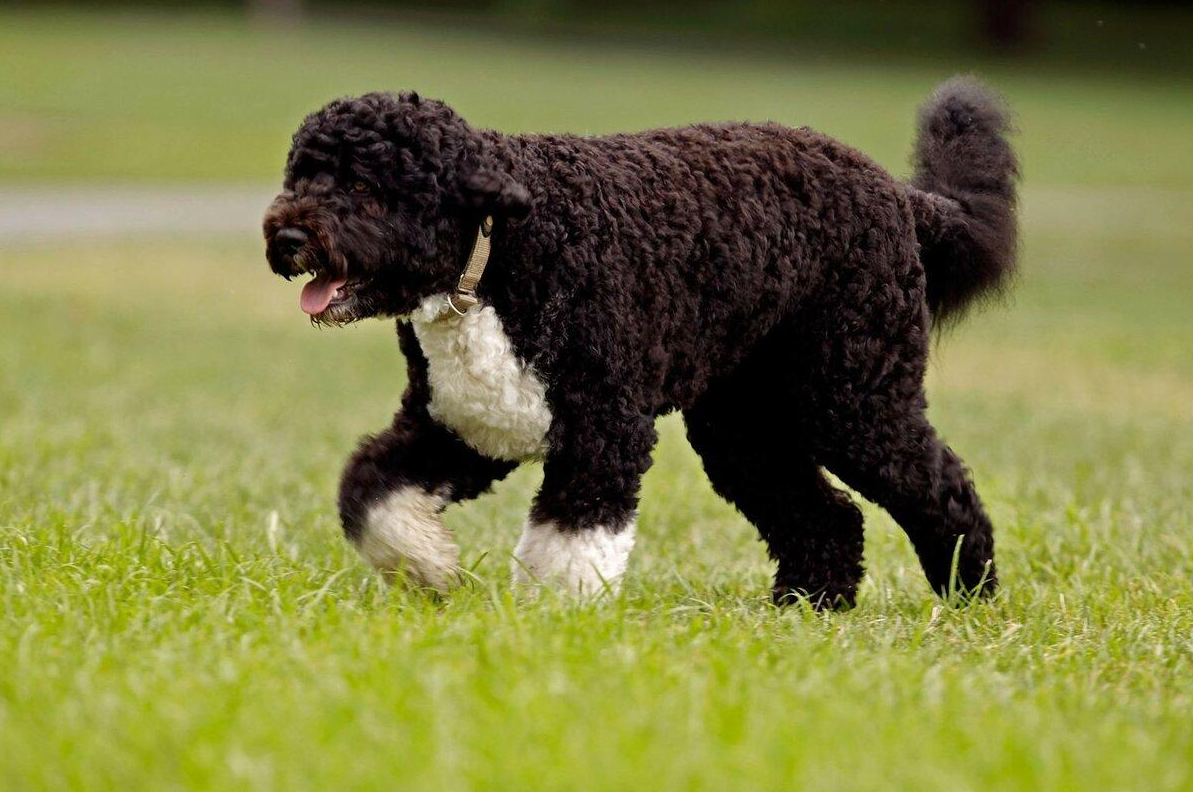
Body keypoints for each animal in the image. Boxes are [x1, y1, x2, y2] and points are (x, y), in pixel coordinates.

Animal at [261, 75, 1016, 605]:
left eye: (365, 185)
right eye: (301, 173)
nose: (286, 236)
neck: (499, 253)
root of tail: (900, 196)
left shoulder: (603, 429)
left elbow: (570, 542)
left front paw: (550, 625)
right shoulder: (461, 425)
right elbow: (371, 492)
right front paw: (429, 567)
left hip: (851, 397)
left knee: (941, 485)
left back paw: (968, 592)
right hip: (743, 425)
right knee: (825, 516)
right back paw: (806, 607)